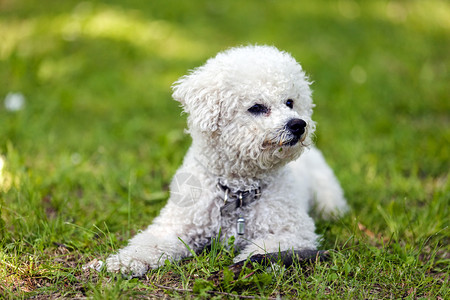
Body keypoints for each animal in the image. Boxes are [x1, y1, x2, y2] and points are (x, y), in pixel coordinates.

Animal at [106, 44, 348, 276]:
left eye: (290, 102)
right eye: (256, 107)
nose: (298, 124)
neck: (238, 190)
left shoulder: (294, 230)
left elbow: (269, 247)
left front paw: (251, 262)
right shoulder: (176, 224)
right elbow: (150, 243)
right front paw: (125, 261)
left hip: (326, 193)